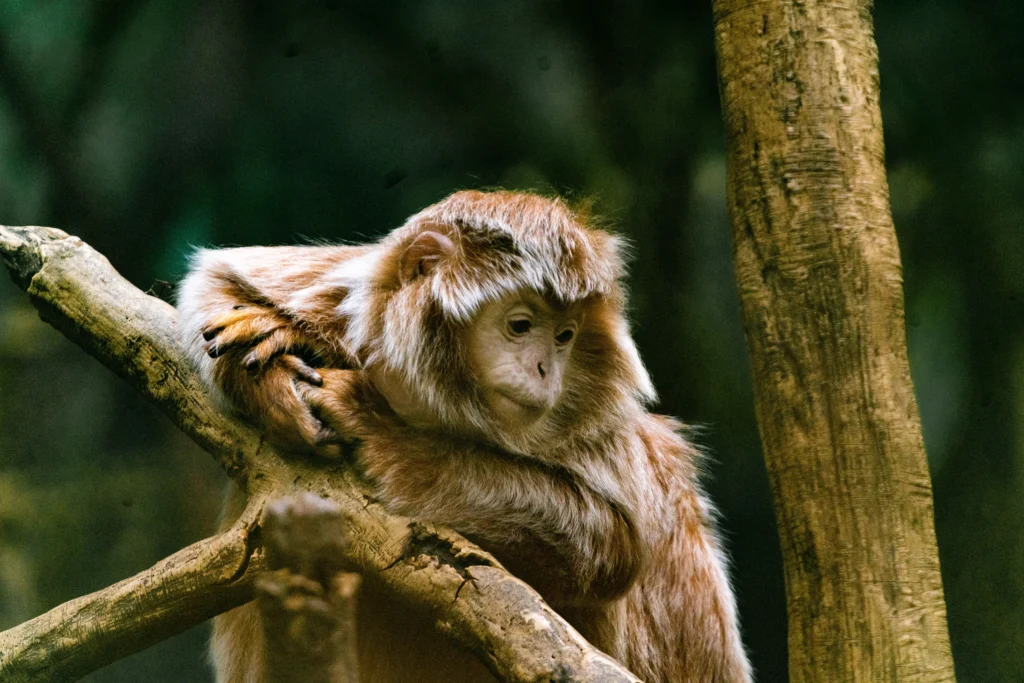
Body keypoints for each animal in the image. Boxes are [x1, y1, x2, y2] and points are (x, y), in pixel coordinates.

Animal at [177, 190, 752, 683]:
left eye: (565, 337)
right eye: (520, 326)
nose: (545, 369)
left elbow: (611, 544)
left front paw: (374, 425)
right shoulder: (345, 295)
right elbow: (210, 280)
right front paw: (273, 383)